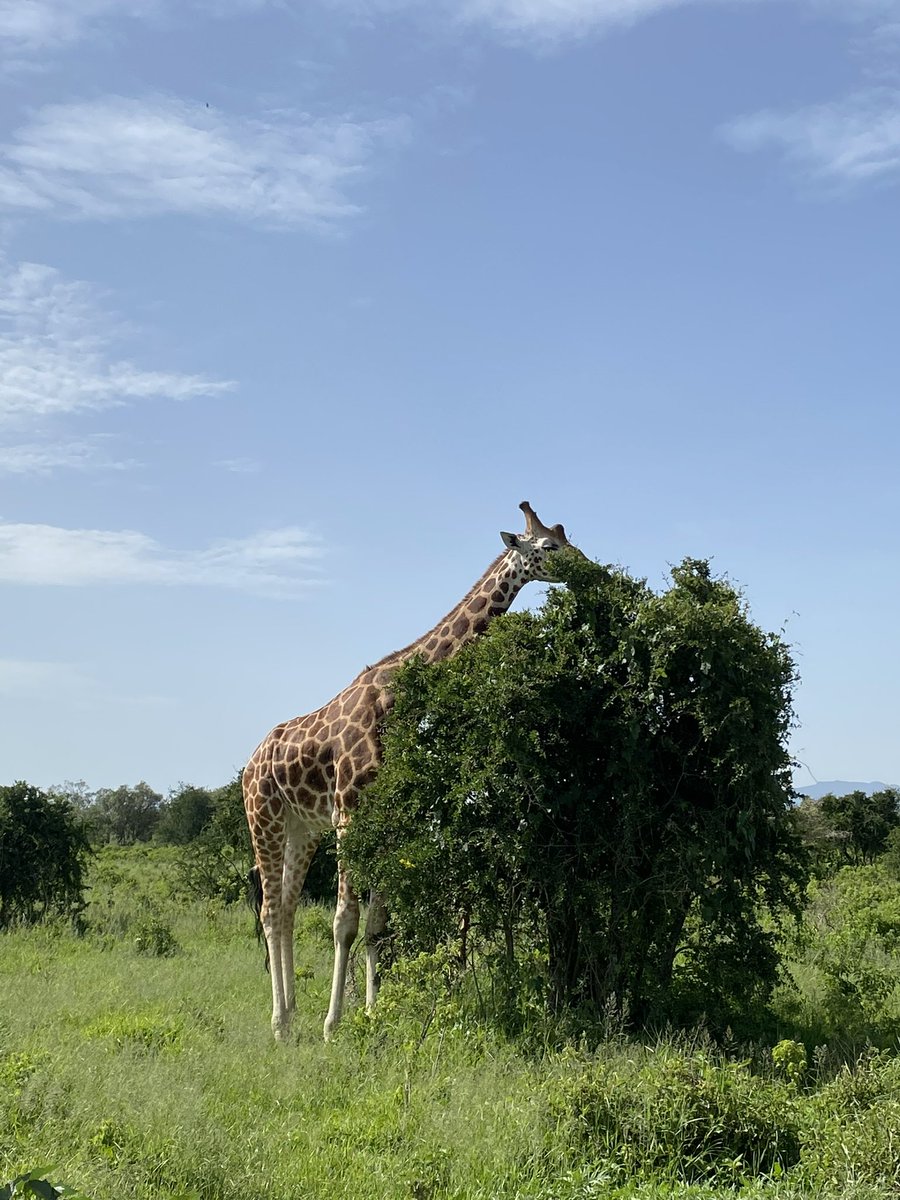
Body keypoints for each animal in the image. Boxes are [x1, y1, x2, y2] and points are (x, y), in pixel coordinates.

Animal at [242, 501, 574, 1041]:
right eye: (548, 546)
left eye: (569, 539)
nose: (588, 567)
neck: (397, 697)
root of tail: (249, 765)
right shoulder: (349, 814)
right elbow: (344, 921)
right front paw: (333, 1024)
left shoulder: (384, 818)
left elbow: (378, 922)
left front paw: (372, 1015)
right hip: (264, 816)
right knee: (270, 909)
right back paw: (279, 1024)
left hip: (301, 827)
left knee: (287, 907)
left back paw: (290, 1015)